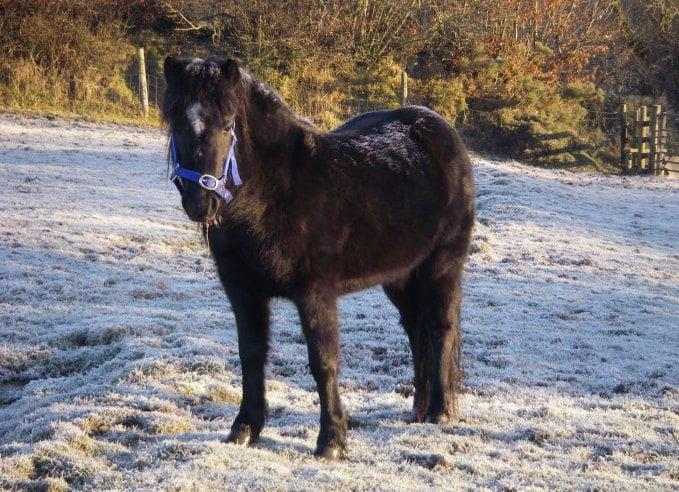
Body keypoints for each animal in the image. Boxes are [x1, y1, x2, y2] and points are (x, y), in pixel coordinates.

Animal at [161, 56, 475, 459]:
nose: (201, 204)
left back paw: (439, 412)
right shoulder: (243, 293)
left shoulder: (315, 294)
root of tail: (437, 128)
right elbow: (251, 354)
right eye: (176, 122)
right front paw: (244, 429)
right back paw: (418, 412)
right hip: (401, 275)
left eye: (228, 125)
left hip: (442, 265)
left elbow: (323, 363)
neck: (274, 194)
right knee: (414, 330)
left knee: (440, 329)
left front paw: (332, 442)